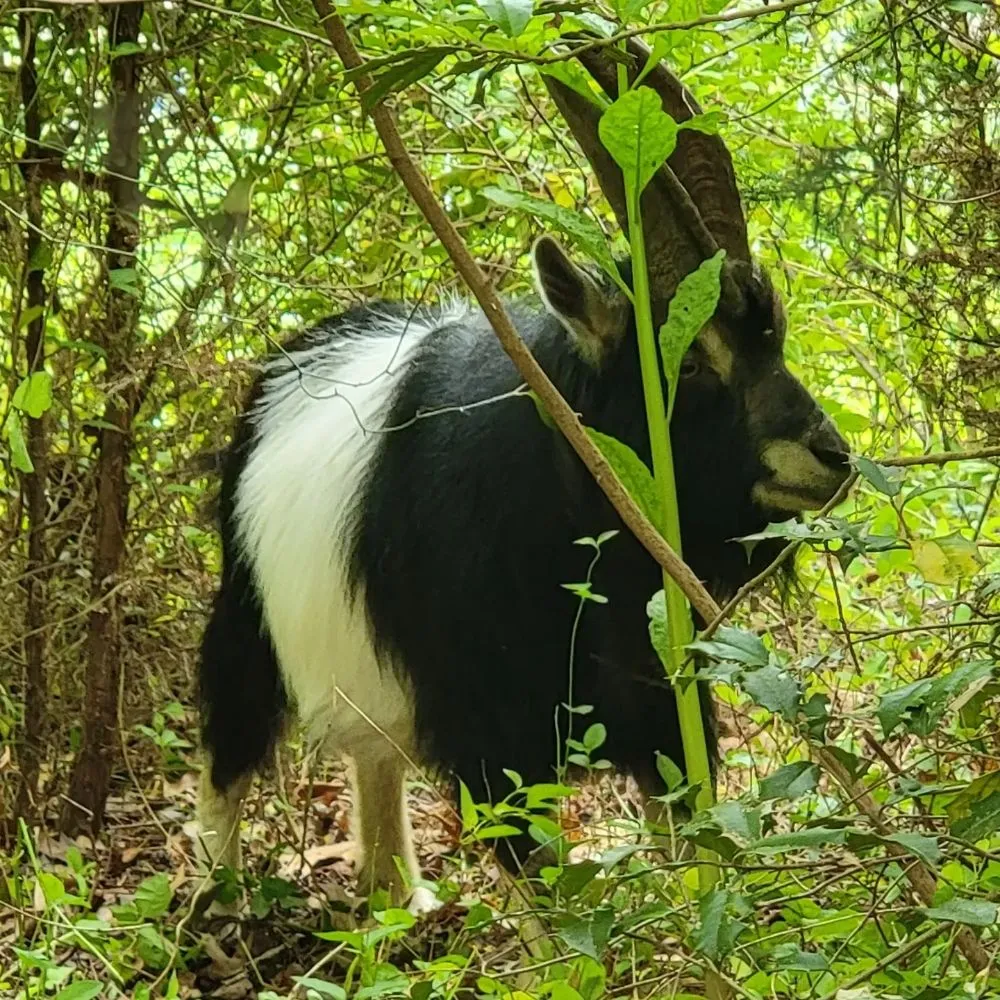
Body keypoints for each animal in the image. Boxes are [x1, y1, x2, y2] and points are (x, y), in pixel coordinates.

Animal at [194, 40, 851, 914]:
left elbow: (692, 840)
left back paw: (397, 897)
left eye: (772, 338)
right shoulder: (492, 735)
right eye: (684, 361)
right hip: (248, 612)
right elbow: (549, 890)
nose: (833, 458)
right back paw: (219, 900)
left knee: (373, 749)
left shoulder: (657, 701)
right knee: (229, 736)